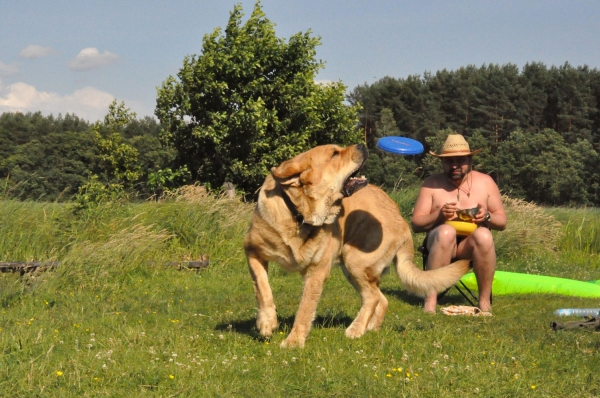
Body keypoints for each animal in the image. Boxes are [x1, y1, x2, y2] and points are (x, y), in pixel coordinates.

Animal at [243, 145, 468, 346]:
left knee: (372, 298)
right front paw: (267, 323)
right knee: (381, 298)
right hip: (353, 269)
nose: (362, 145)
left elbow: (305, 309)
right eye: (334, 153)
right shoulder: (252, 251)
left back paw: (355, 330)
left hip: (355, 261)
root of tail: (403, 223)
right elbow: (262, 288)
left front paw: (293, 342)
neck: (299, 215)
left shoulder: (316, 272)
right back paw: (370, 328)